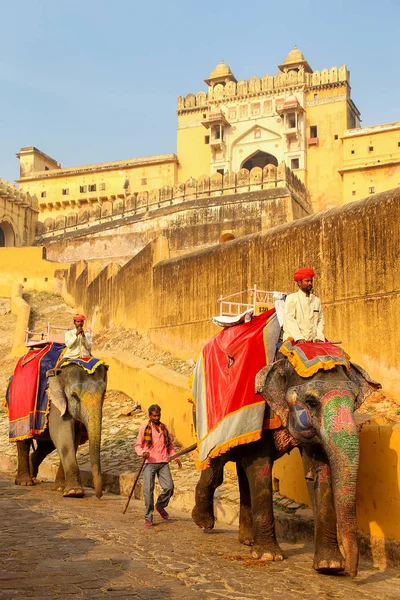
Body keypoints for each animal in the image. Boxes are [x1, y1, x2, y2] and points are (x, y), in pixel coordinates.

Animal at [13, 360, 108, 496]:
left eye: (104, 392)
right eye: (74, 396)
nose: (99, 495)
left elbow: (74, 438)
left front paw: (60, 488)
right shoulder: (54, 402)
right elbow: (62, 433)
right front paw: (74, 492)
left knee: (46, 446)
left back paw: (34, 478)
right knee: (23, 441)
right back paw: (25, 482)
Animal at [192, 354, 380, 580]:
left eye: (355, 400)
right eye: (311, 402)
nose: (352, 574)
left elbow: (320, 470)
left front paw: (330, 565)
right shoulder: (263, 413)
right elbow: (260, 467)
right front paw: (269, 556)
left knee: (240, 471)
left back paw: (247, 540)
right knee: (215, 465)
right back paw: (203, 522)